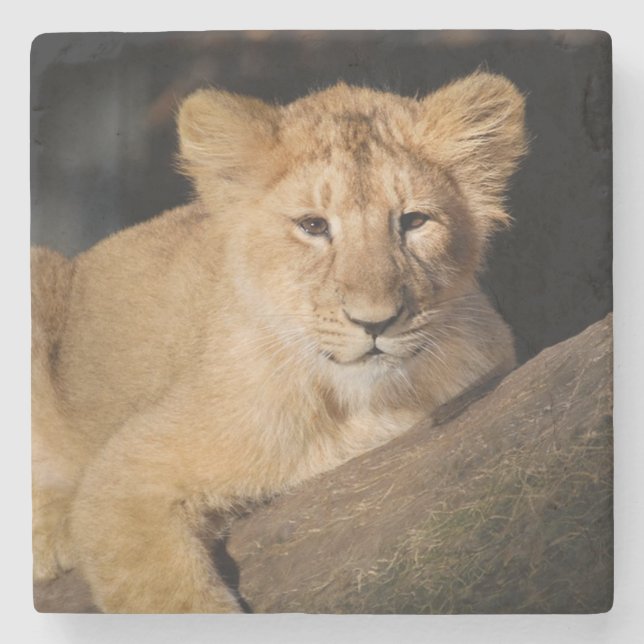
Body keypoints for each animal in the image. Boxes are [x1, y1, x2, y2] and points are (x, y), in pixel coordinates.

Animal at [31, 71, 527, 613]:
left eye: (415, 221)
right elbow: (173, 598)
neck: (359, 404)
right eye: (313, 226)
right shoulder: (126, 475)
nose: (375, 322)